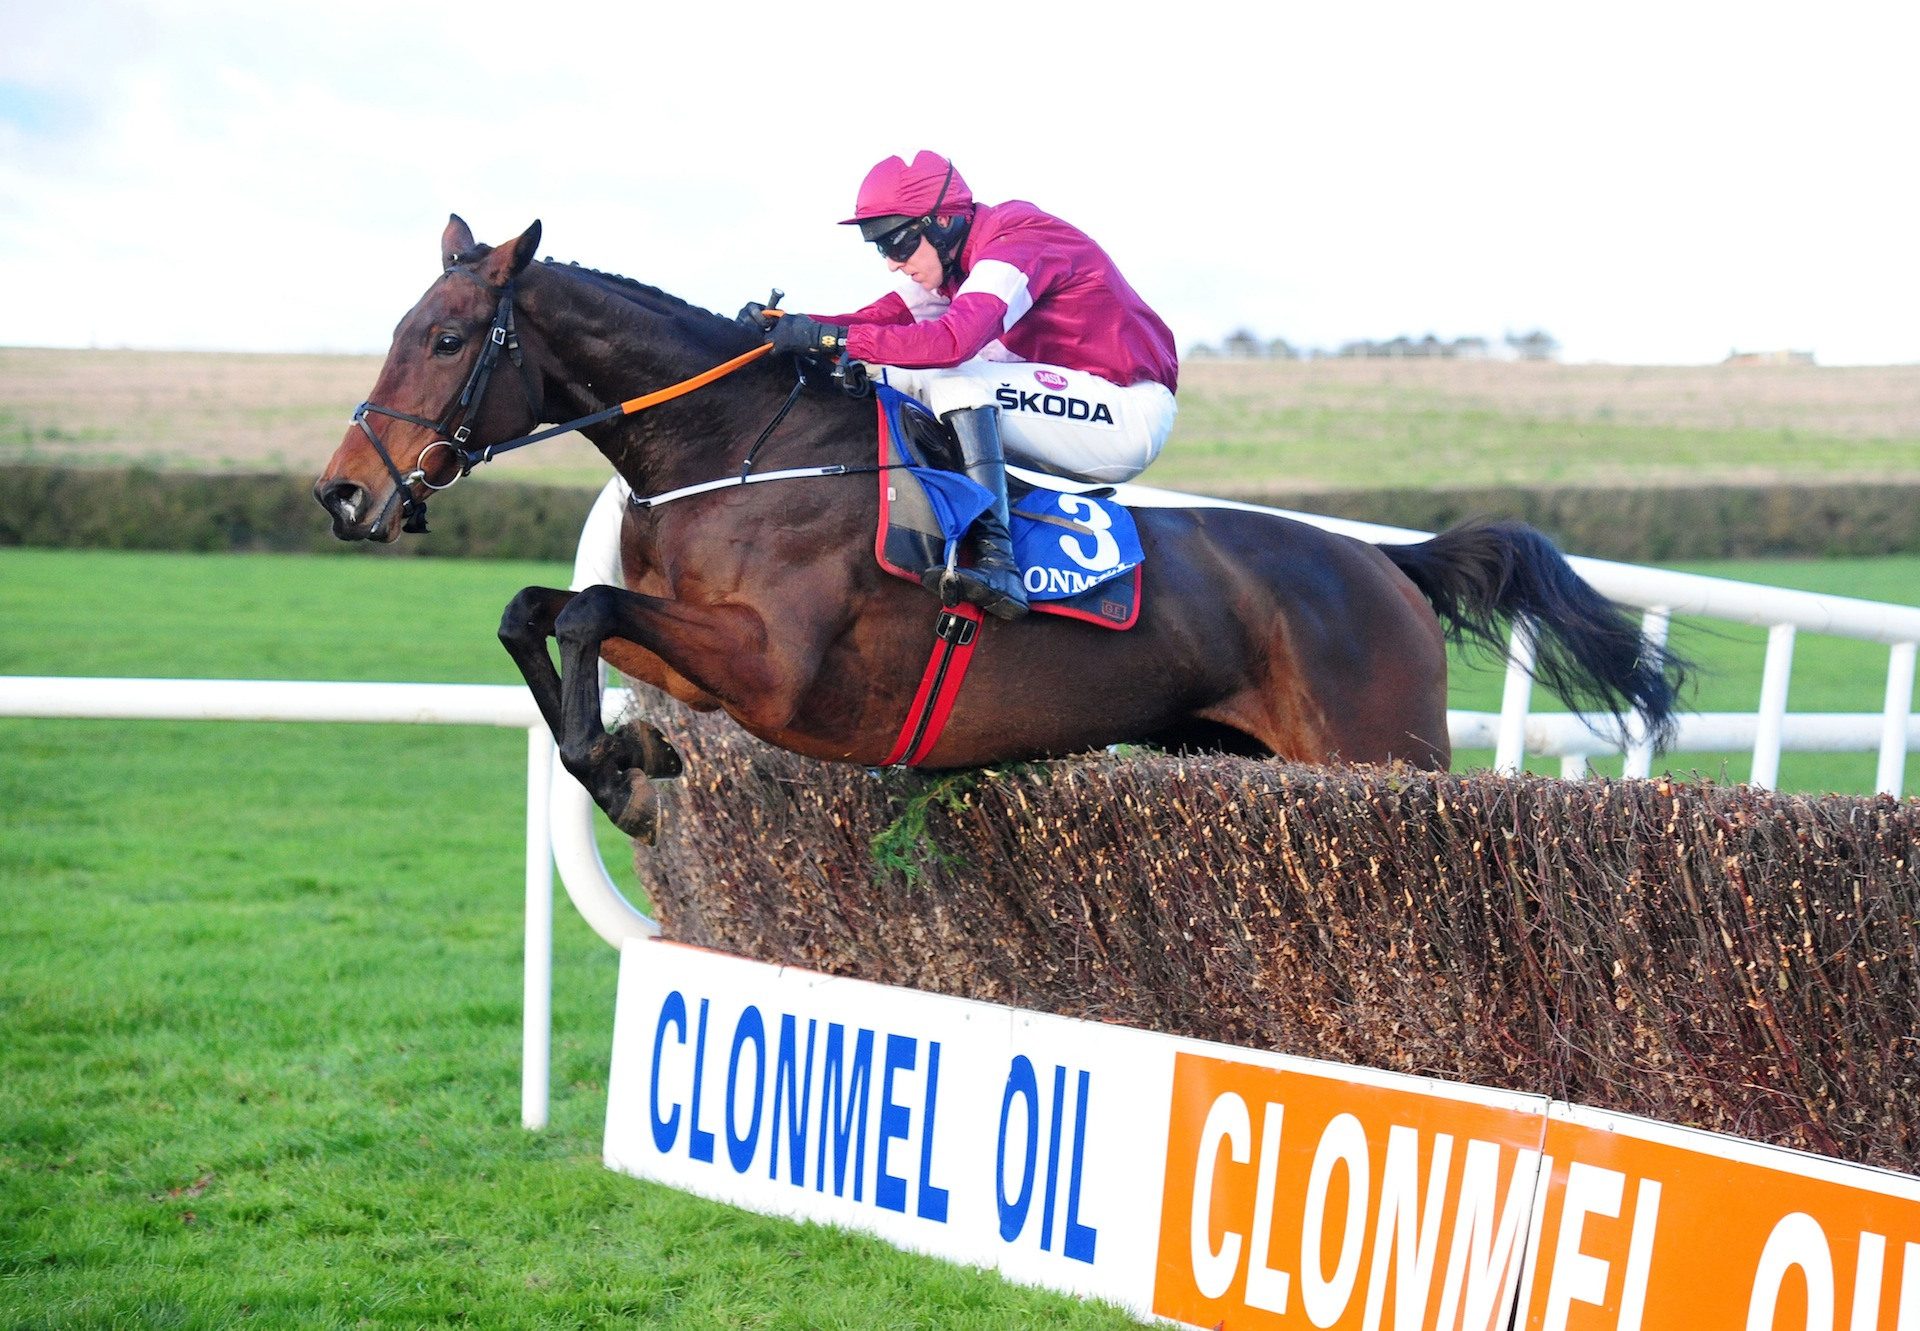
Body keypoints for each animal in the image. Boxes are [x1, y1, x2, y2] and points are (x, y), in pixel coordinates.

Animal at [311, 217, 1681, 841]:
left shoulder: (779, 671)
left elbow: (588, 606)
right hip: (1248, 754)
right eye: (398, 328)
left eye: (447, 336)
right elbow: (539, 612)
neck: (735, 447)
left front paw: (624, 771)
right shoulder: (695, 650)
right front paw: (624, 762)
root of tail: (1384, 561)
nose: (343, 492)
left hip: (1384, 756)